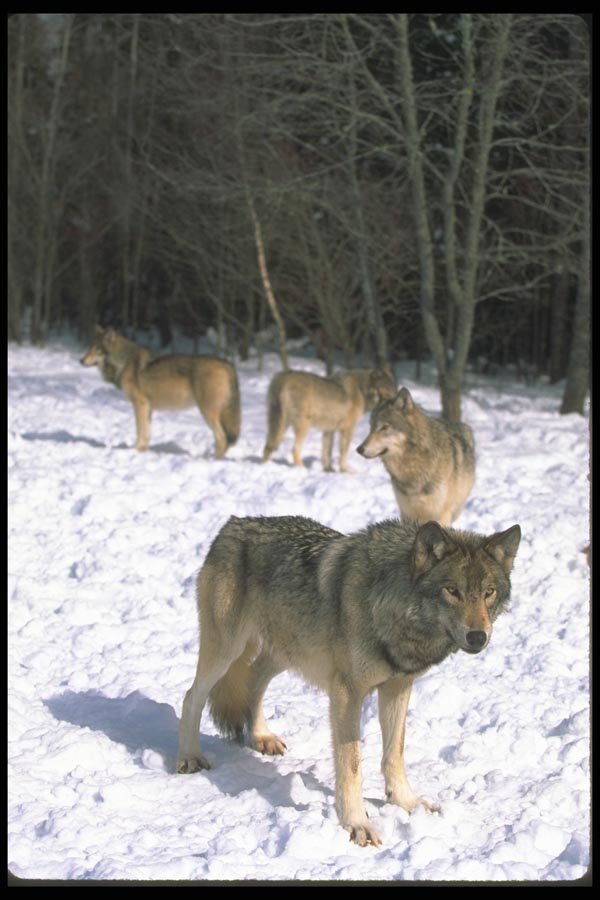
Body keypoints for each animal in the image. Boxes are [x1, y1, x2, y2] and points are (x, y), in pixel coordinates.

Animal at [81, 325, 240, 456]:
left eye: (96, 349)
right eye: (89, 347)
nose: (80, 360)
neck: (124, 361)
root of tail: (227, 364)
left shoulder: (140, 404)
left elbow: (140, 430)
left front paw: (135, 450)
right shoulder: (148, 407)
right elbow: (146, 433)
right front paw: (143, 450)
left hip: (207, 413)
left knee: (223, 439)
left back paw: (211, 459)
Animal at [177, 514, 521, 846]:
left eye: (488, 592)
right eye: (452, 590)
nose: (478, 637)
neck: (391, 607)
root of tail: (232, 524)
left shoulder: (398, 687)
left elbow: (394, 754)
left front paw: (407, 802)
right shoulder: (346, 694)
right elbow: (352, 764)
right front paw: (357, 824)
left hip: (286, 652)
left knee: (254, 678)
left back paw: (261, 737)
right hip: (227, 651)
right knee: (192, 695)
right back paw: (190, 757)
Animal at [261, 368, 396, 471]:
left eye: (393, 388)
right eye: (387, 388)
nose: (395, 400)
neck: (362, 389)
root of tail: (282, 377)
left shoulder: (329, 430)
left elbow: (327, 452)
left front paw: (329, 470)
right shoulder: (347, 429)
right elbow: (343, 453)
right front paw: (344, 470)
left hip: (280, 425)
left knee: (268, 446)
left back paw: (265, 466)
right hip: (302, 425)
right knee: (294, 450)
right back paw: (302, 470)